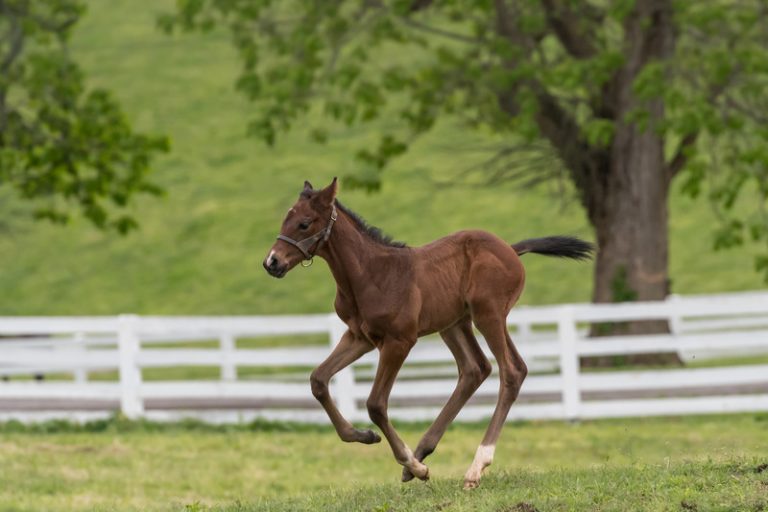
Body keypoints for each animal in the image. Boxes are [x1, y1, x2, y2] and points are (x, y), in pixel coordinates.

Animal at [263, 178, 594, 488]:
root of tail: (511, 250)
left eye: (304, 223)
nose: (272, 262)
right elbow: (318, 379)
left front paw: (414, 465)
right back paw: (424, 451)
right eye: (284, 219)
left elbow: (375, 404)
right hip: (454, 323)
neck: (369, 274)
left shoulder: (399, 341)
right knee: (475, 369)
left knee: (512, 370)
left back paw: (474, 467)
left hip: (488, 314)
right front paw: (365, 436)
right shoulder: (359, 337)